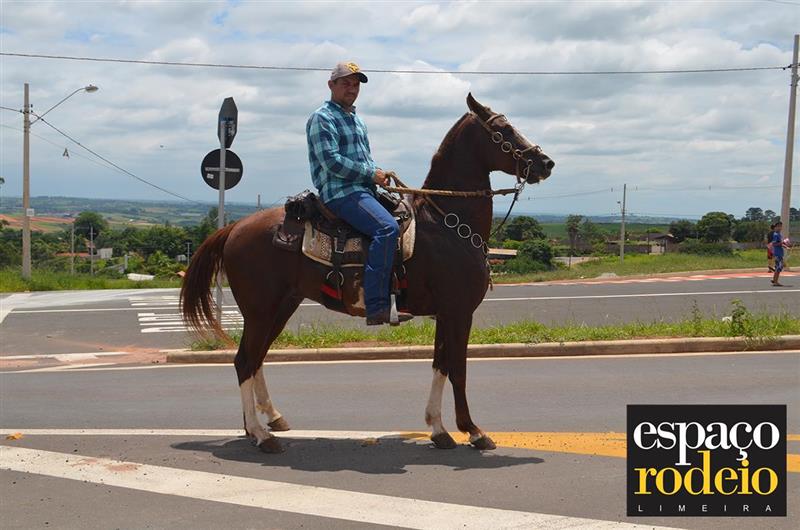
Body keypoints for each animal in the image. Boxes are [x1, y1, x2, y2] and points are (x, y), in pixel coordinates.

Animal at [180, 93, 554, 453]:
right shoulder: (459, 312)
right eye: (503, 130)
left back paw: (266, 421)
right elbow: (458, 371)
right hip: (260, 310)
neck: (446, 223)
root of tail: (234, 228)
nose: (546, 163)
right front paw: (474, 432)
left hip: (281, 307)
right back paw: (261, 436)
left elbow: (440, 366)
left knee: (256, 359)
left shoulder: (445, 314)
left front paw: (438, 429)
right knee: (244, 361)